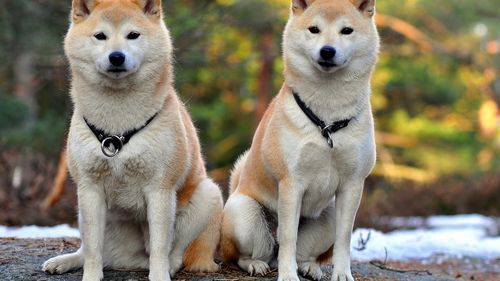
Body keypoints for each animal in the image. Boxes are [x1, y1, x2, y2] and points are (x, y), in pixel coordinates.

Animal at [41, 1, 223, 278]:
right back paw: (66, 261)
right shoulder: (90, 188)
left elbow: (159, 248)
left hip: (207, 195)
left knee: (174, 254)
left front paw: (159, 276)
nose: (116, 56)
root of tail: (128, 260)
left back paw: (167, 266)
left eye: (133, 35)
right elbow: (93, 251)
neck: (117, 129)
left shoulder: (160, 189)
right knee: (90, 251)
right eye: (100, 36)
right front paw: (91, 277)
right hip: (83, 209)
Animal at [220, 0, 378, 280]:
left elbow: (344, 238)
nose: (327, 50)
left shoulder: (352, 185)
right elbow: (288, 238)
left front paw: (342, 273)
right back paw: (256, 264)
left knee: (307, 253)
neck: (327, 120)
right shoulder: (291, 183)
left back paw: (310, 267)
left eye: (346, 30)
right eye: (314, 29)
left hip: (328, 216)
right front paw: (287, 275)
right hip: (244, 214)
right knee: (247, 254)